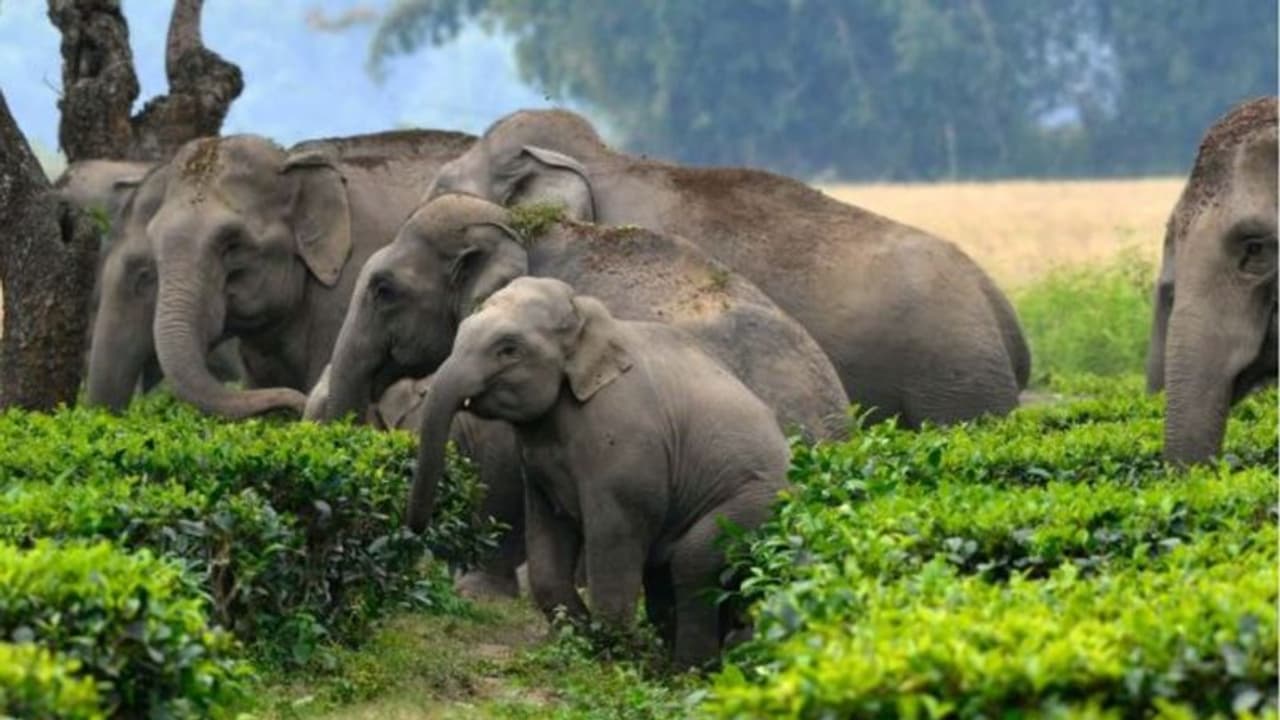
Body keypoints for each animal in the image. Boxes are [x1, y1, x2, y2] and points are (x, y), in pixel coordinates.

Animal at [408, 276, 790, 667]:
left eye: (508, 349)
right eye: (460, 331)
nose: (417, 527)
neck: (586, 316)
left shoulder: (624, 448)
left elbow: (614, 534)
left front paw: (615, 654)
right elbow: (547, 539)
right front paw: (583, 639)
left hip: (756, 503)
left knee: (692, 561)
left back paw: (689, 669)